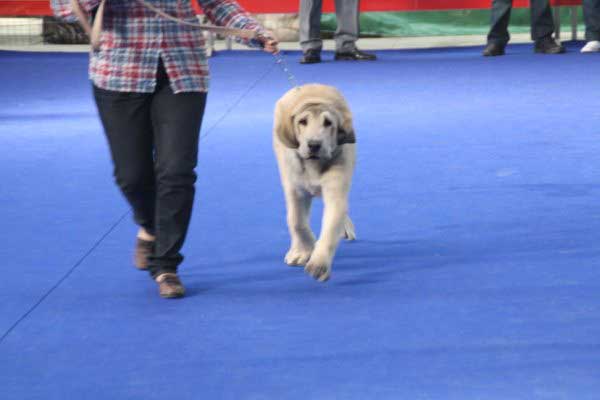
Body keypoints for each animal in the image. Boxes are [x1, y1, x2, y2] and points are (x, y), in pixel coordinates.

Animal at [276, 83, 356, 282]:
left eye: (328, 123)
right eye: (302, 121)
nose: (314, 145)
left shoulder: (336, 184)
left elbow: (333, 220)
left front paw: (319, 262)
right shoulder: (295, 188)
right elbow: (296, 220)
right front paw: (304, 250)